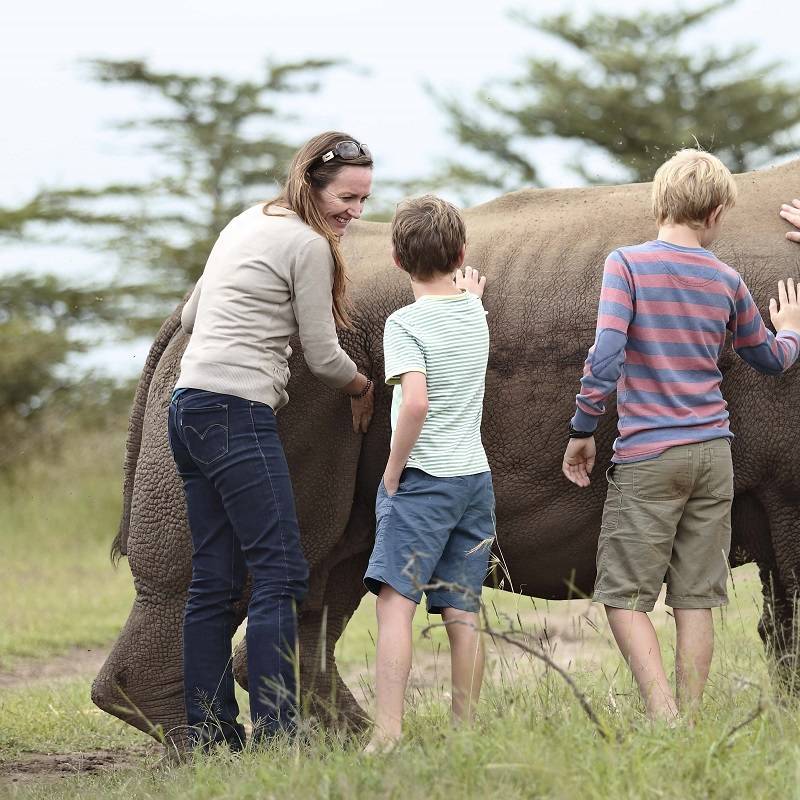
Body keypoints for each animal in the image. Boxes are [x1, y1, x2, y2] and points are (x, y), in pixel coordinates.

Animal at [92, 159, 800, 748]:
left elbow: (783, 614)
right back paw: (220, 753)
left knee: (330, 569)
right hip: (285, 368)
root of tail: (189, 303)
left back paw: (333, 746)